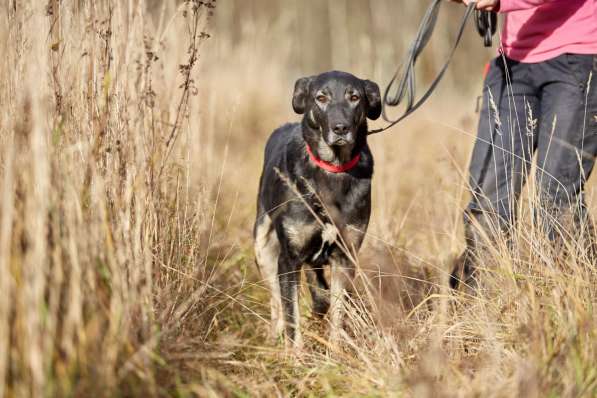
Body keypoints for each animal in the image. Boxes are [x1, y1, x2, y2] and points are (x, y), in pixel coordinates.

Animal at [254, 72, 380, 348]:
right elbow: (292, 315)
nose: (341, 128)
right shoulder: (289, 259)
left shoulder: (345, 257)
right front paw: (296, 354)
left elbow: (337, 312)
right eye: (321, 98)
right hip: (262, 245)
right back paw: (274, 336)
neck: (332, 167)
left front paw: (335, 350)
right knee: (276, 302)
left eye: (354, 97)